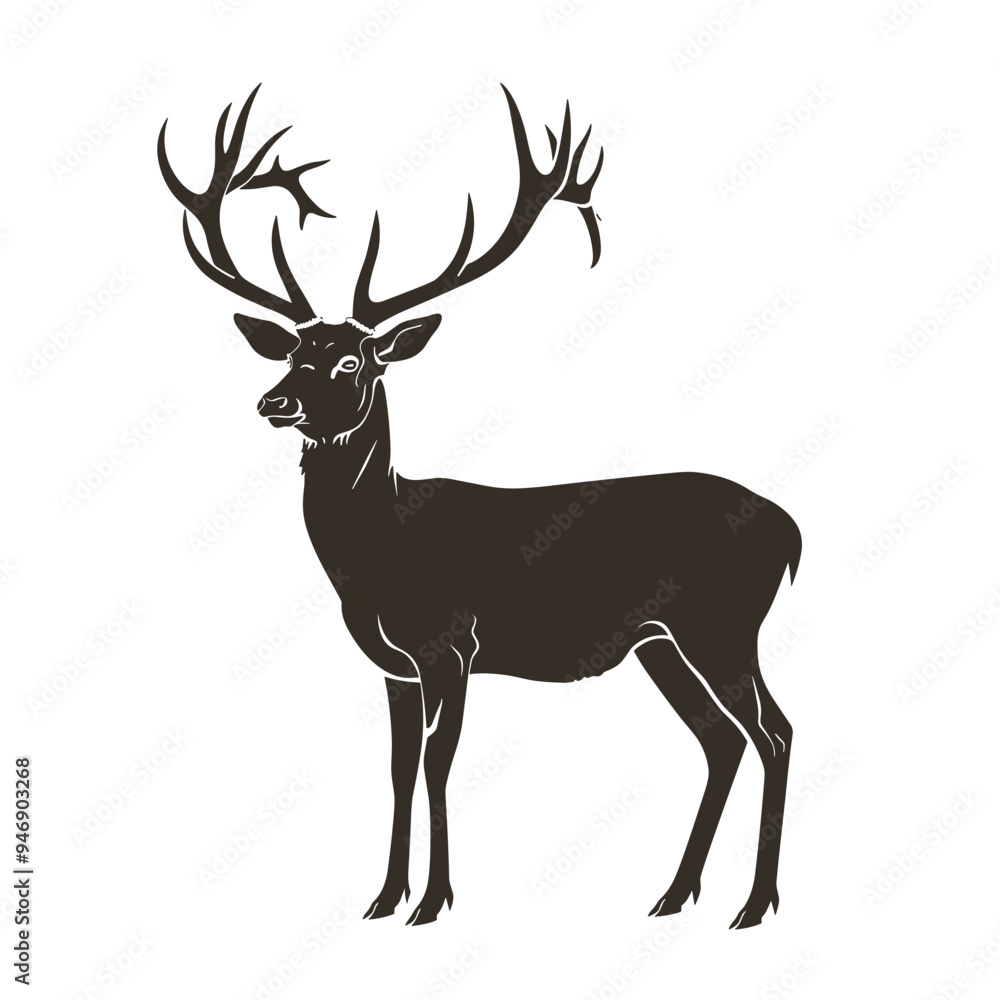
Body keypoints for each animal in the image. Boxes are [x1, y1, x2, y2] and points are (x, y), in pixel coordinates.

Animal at [158, 85, 802, 928]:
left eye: (352, 360)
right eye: (295, 351)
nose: (274, 401)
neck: (380, 557)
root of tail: (791, 529)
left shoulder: (451, 644)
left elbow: (438, 766)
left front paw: (433, 902)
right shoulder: (394, 665)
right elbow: (398, 769)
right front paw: (382, 898)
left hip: (722, 624)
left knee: (774, 733)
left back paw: (754, 905)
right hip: (662, 643)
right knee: (722, 741)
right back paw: (673, 896)